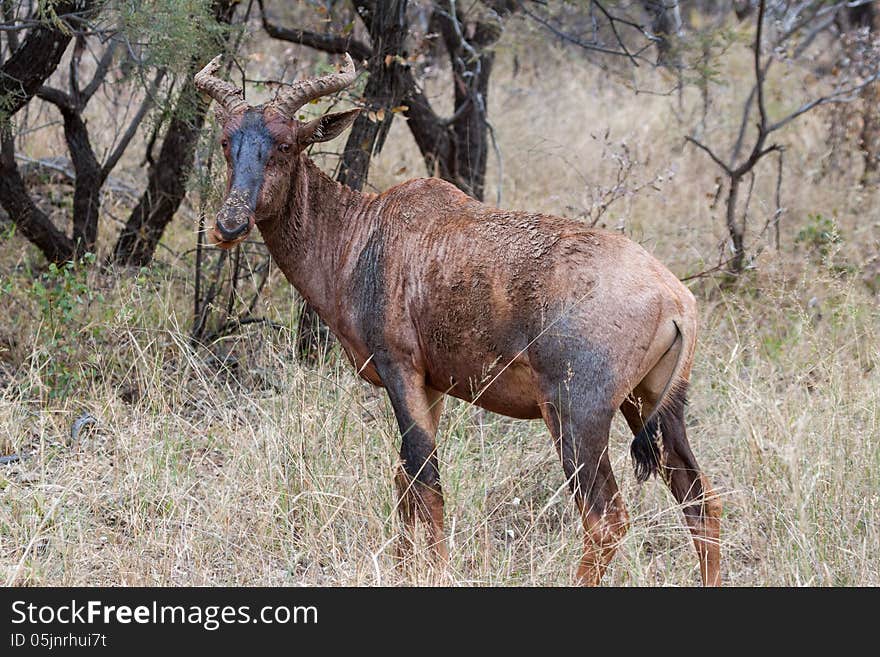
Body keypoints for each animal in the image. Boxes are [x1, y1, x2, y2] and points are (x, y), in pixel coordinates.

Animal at [198, 52, 720, 584]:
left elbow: (426, 482)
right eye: (226, 141)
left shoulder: (401, 369)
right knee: (701, 503)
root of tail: (675, 299)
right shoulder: (431, 386)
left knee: (606, 517)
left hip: (578, 415)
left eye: (286, 144)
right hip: (654, 406)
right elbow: (406, 480)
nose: (228, 225)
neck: (365, 232)